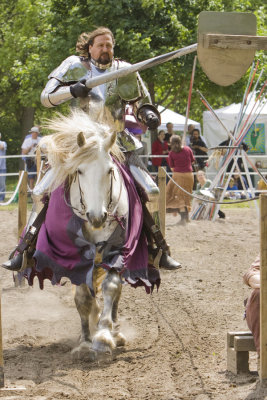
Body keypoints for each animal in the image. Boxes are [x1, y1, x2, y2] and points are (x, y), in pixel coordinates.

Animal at [40, 110, 131, 360]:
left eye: (109, 170)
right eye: (79, 171)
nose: (97, 216)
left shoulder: (116, 251)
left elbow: (112, 287)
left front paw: (104, 335)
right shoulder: (75, 257)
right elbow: (82, 297)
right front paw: (85, 341)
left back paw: (115, 331)